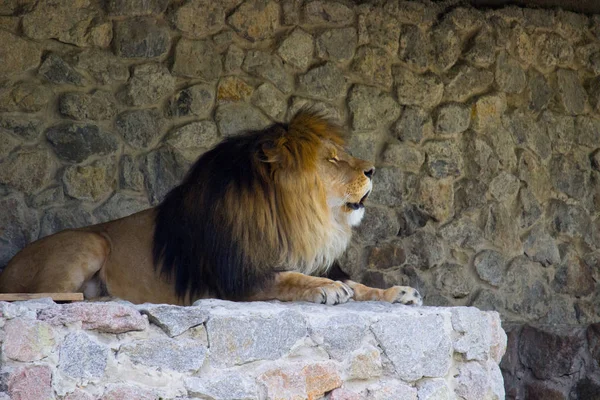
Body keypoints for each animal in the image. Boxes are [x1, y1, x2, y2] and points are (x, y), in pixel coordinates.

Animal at [0, 111, 422, 306]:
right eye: (333, 159)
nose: (372, 170)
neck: (292, 218)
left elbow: (360, 285)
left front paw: (396, 292)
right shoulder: (235, 279)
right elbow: (289, 278)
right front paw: (327, 288)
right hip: (90, 243)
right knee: (44, 297)